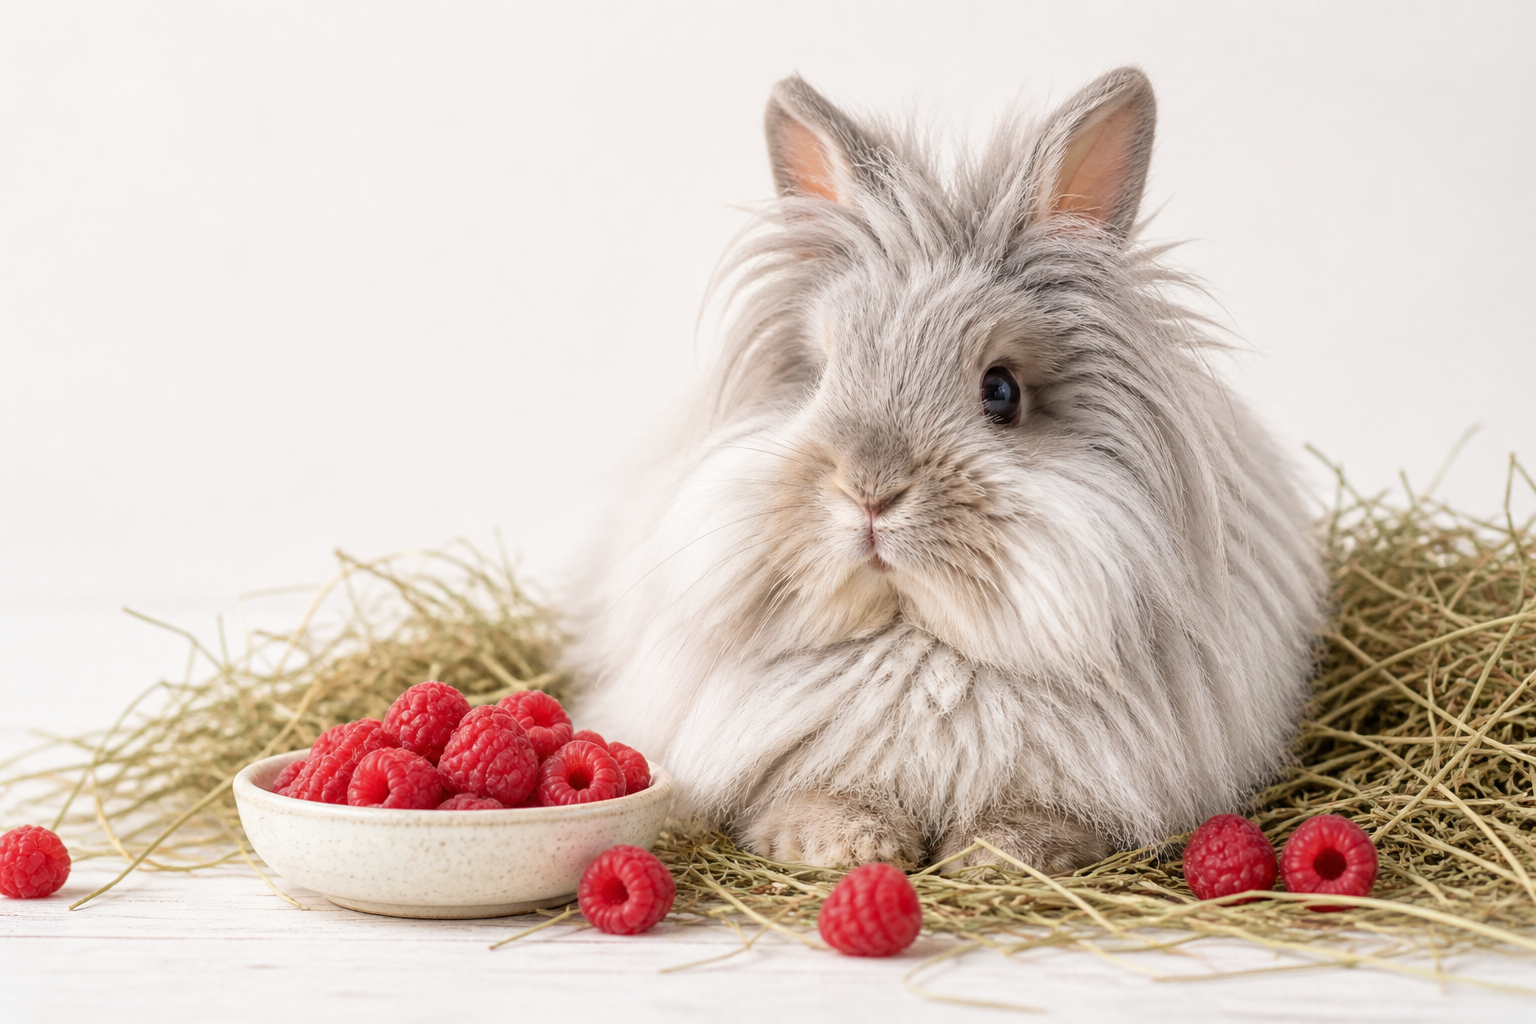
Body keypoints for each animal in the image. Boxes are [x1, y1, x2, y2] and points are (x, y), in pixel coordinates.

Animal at [567, 67, 1324, 874]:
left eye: (1001, 391)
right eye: (820, 376)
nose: (869, 492)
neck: (919, 643)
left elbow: (1040, 817)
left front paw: (999, 855)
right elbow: (813, 797)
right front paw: (845, 845)